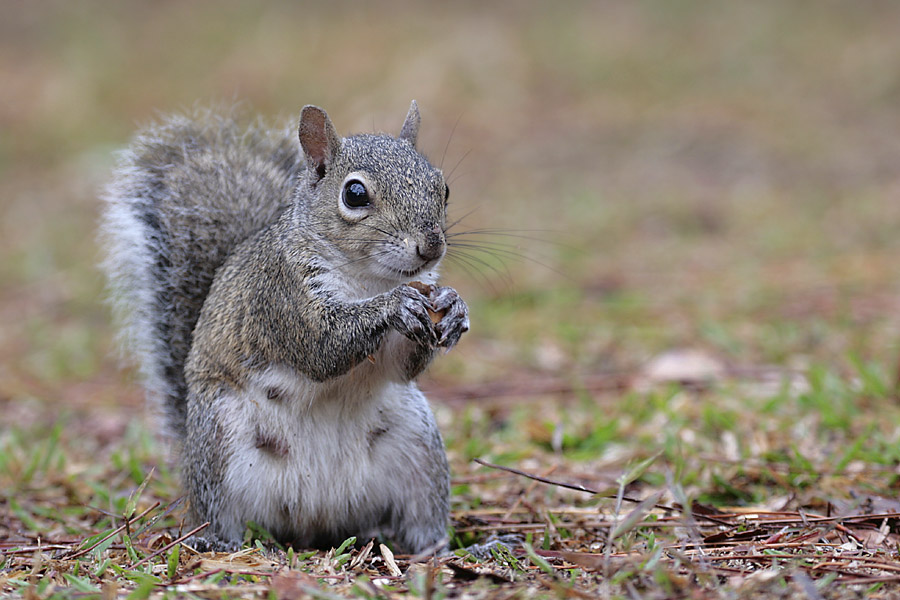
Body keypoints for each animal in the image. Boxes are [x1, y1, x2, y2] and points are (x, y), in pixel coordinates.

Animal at [102, 99, 472, 552]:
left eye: (443, 187)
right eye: (354, 194)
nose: (431, 245)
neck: (368, 278)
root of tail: (316, 519)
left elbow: (402, 366)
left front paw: (453, 306)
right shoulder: (282, 296)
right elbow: (322, 346)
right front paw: (394, 305)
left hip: (419, 449)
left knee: (422, 520)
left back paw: (446, 549)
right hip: (220, 447)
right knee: (219, 515)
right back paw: (218, 545)